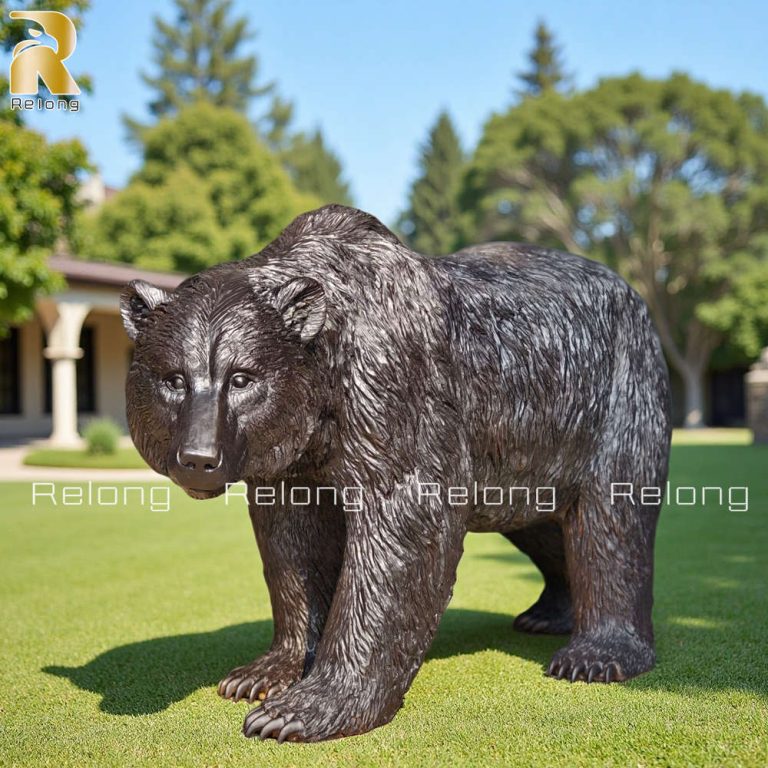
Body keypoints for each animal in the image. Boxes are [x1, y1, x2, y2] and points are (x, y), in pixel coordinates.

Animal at [120, 204, 671, 743]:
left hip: (619, 389)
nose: (198, 457)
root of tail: (629, 289)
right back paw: (549, 613)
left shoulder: (391, 384)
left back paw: (595, 656)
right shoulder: (292, 458)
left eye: (241, 378)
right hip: (524, 447)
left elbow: (398, 533)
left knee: (608, 519)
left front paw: (301, 710)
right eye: (173, 378)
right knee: (538, 520)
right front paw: (259, 674)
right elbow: (291, 547)